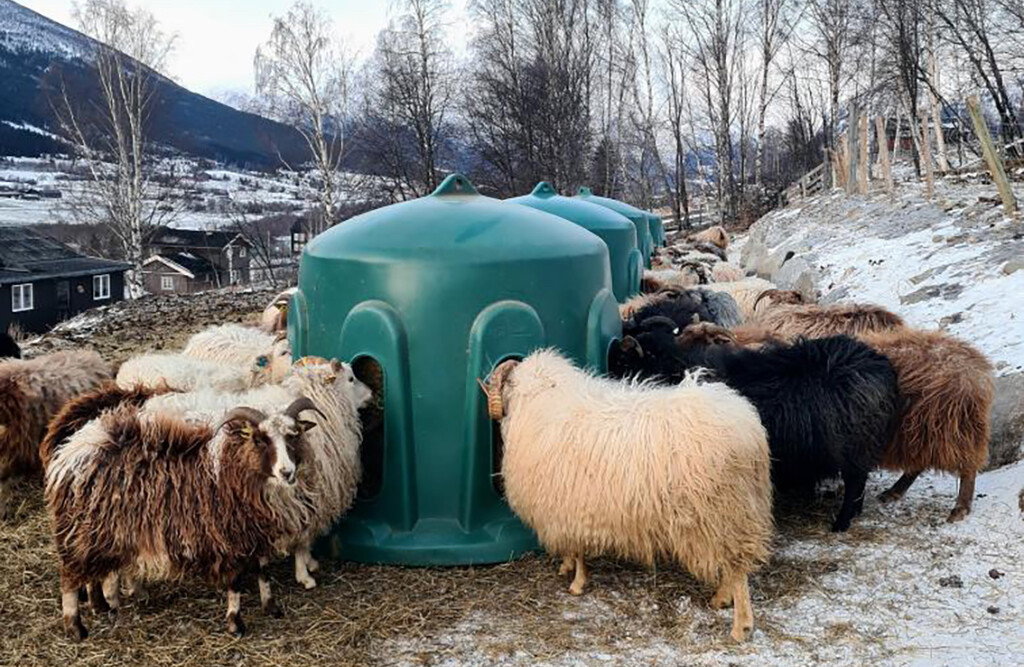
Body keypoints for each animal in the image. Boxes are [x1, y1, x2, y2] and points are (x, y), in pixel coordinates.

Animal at [45, 396, 316, 640]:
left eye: (293, 436)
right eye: (260, 440)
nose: (287, 472)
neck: (234, 470)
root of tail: (74, 449)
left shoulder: (255, 534)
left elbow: (264, 572)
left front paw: (271, 607)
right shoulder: (229, 539)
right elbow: (235, 583)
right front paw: (235, 624)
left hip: (107, 533)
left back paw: (109, 605)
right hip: (83, 533)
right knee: (69, 578)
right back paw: (76, 628)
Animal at [141, 356, 372, 589]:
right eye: (351, 379)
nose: (371, 395)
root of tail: (146, 409)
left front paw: (309, 563)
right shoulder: (301, 493)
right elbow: (302, 538)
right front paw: (305, 575)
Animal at [482, 350, 773, 642]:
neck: (542, 401)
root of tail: (749, 430)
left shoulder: (569, 506)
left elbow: (578, 550)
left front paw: (576, 583)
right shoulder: (566, 508)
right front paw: (566, 567)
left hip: (720, 513)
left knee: (737, 570)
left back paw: (740, 626)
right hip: (732, 514)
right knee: (733, 567)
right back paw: (721, 599)